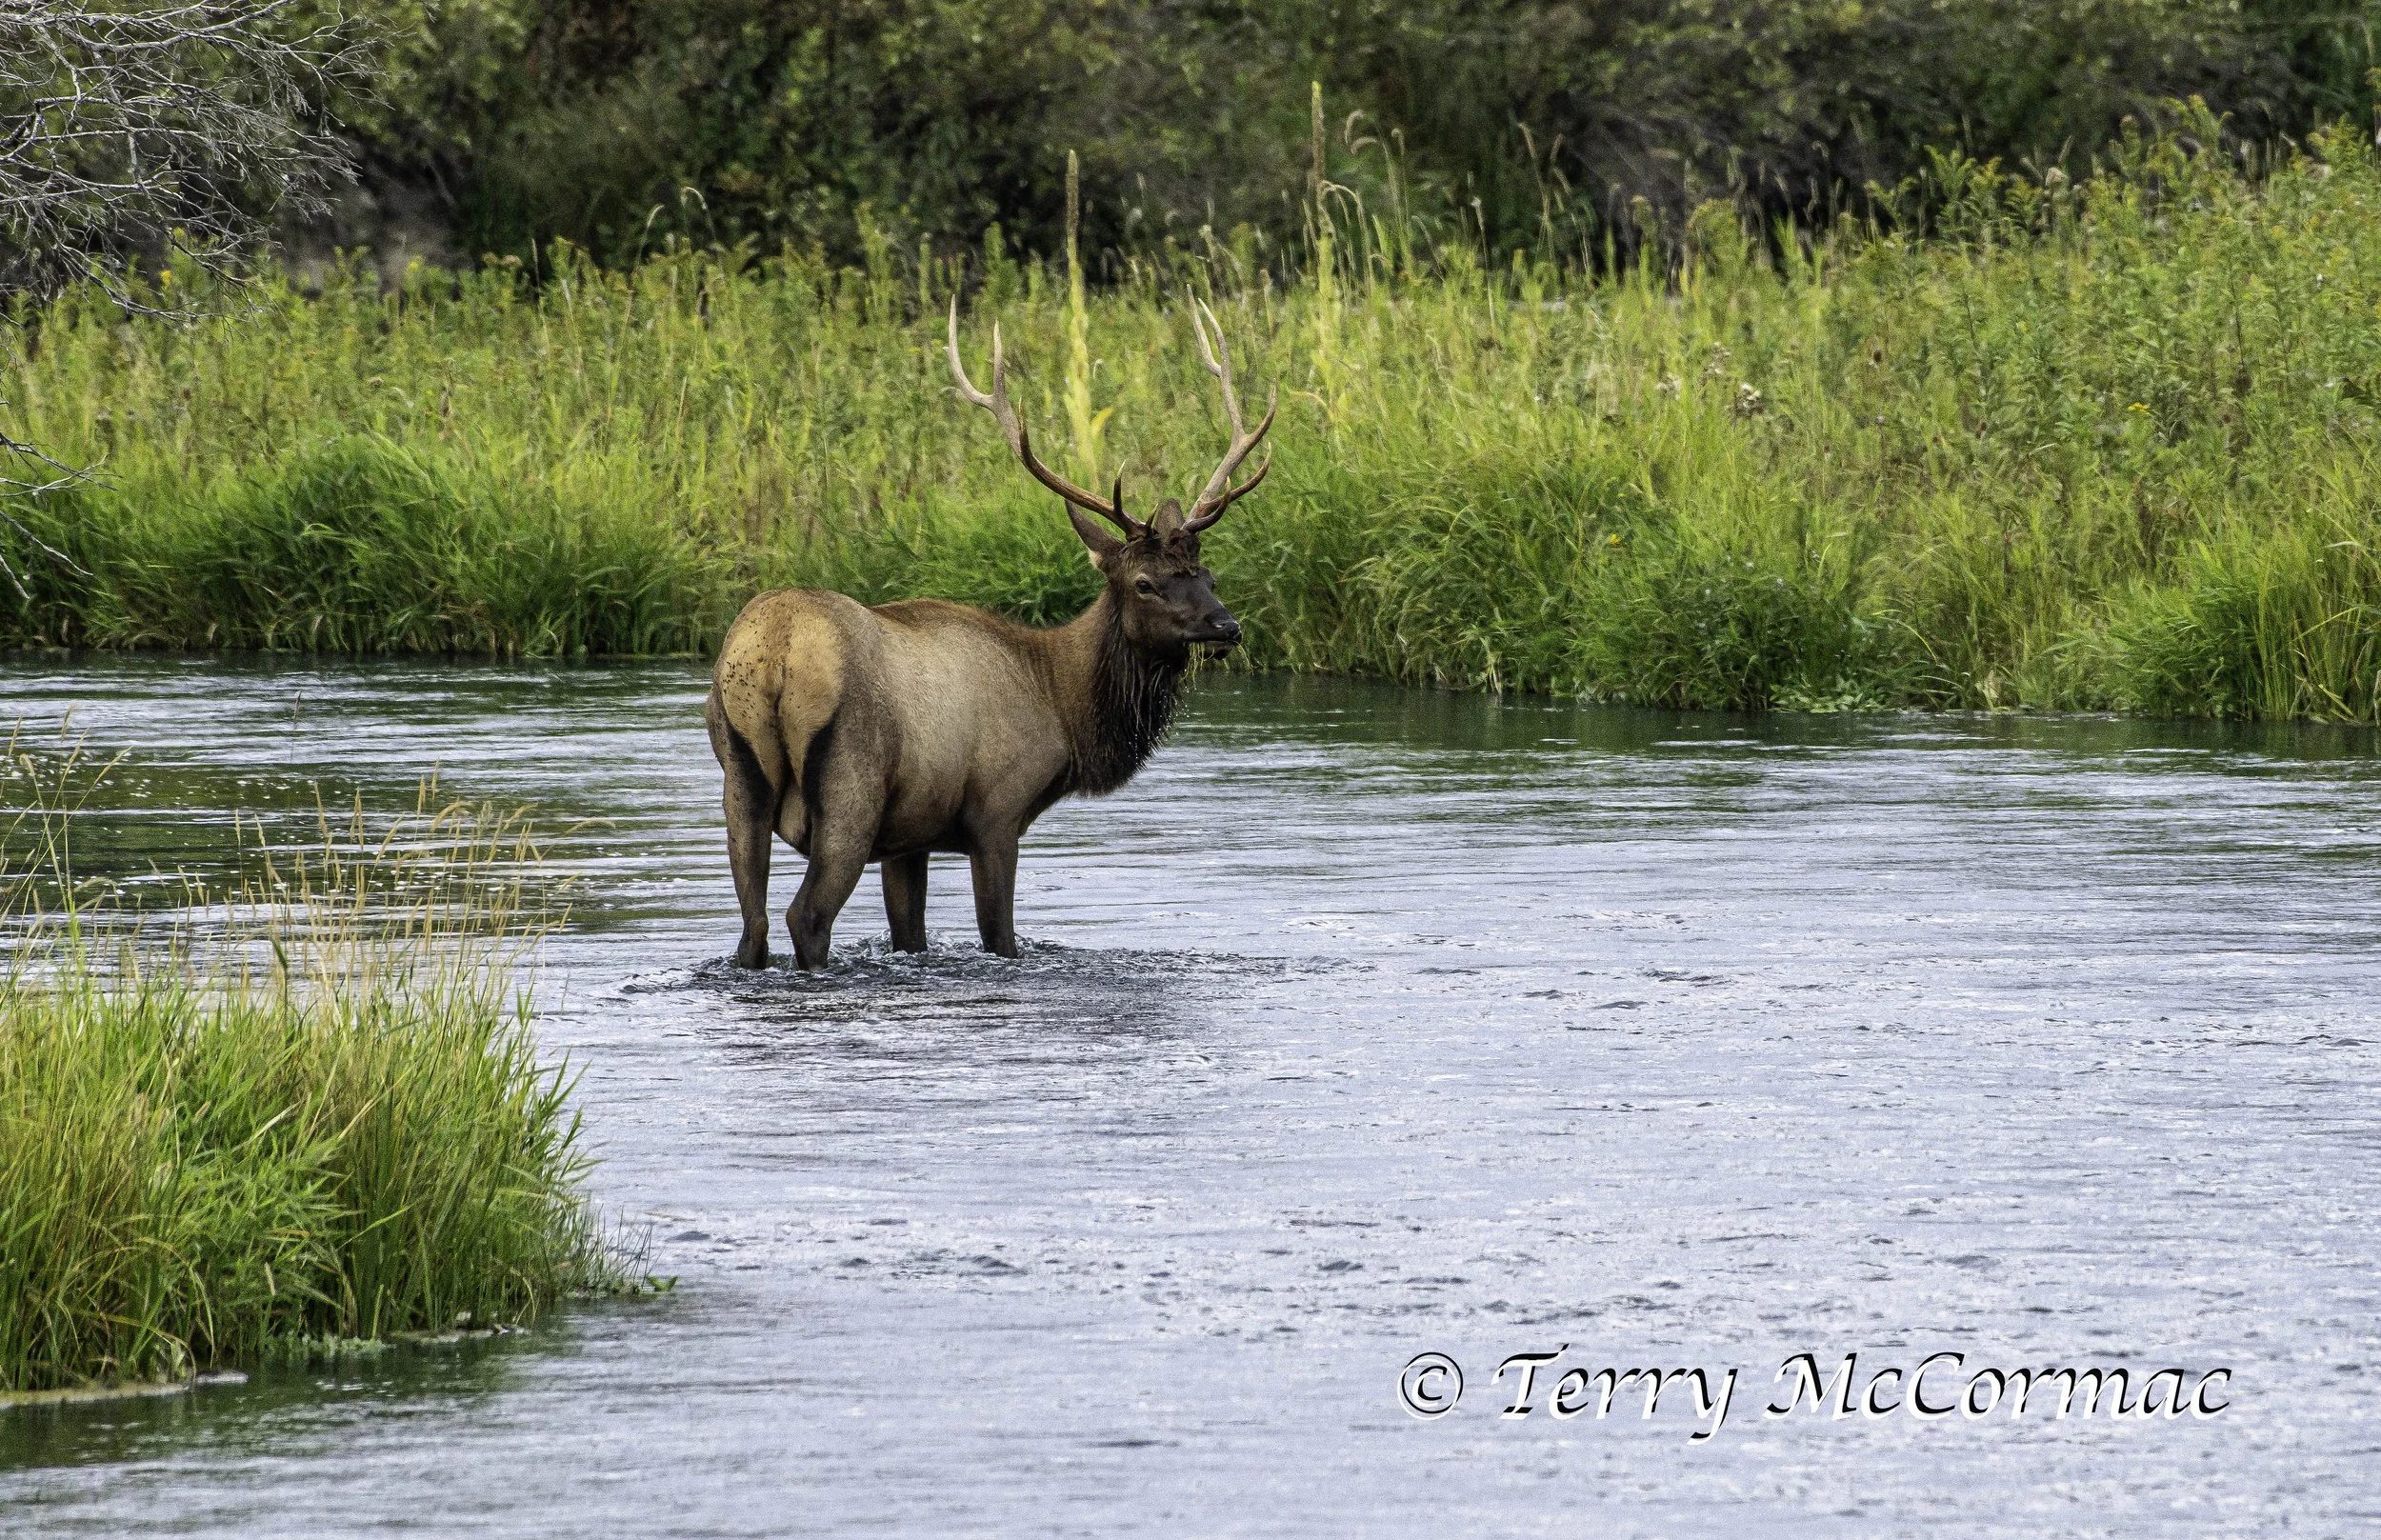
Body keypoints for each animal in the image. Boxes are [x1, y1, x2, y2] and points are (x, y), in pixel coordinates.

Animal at [704, 299, 1276, 970]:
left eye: (1207, 575)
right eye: (1144, 583)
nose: (1227, 626)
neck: (1061, 703)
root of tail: (774, 651)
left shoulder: (910, 836)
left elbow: (911, 934)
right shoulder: (997, 812)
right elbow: (1000, 937)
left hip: (738, 777)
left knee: (753, 927)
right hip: (852, 784)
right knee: (806, 916)